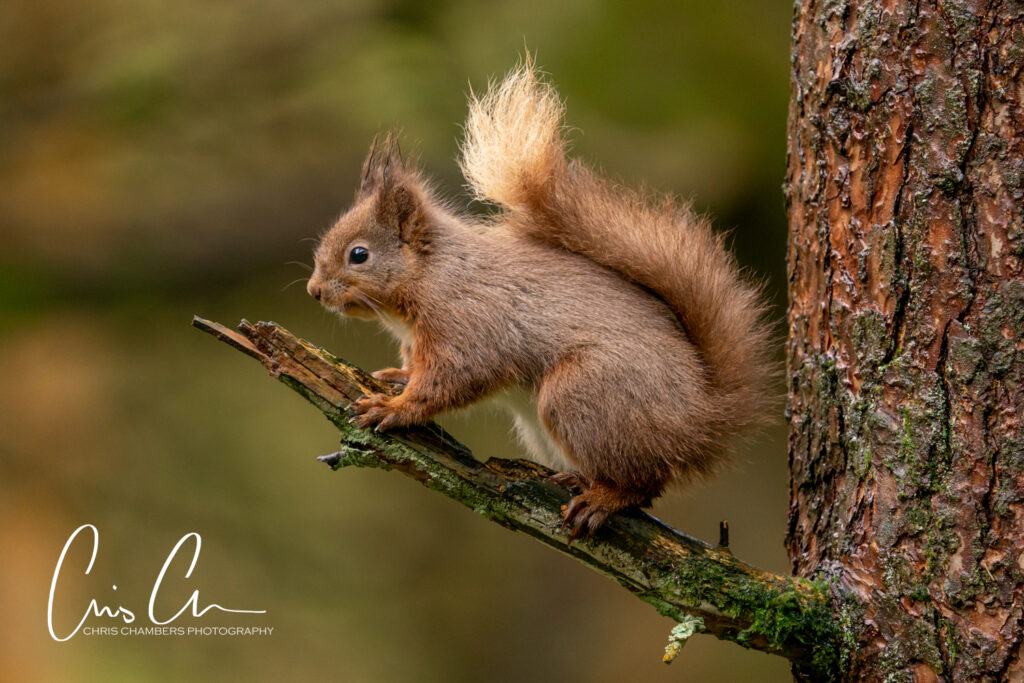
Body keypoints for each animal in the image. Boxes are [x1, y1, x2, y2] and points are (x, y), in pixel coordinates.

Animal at [305, 61, 774, 540]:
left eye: (359, 255)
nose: (314, 290)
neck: (429, 275)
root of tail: (702, 420)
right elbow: (417, 368)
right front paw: (399, 376)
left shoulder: (468, 323)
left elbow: (449, 380)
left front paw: (393, 408)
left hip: (582, 396)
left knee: (643, 484)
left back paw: (602, 498)